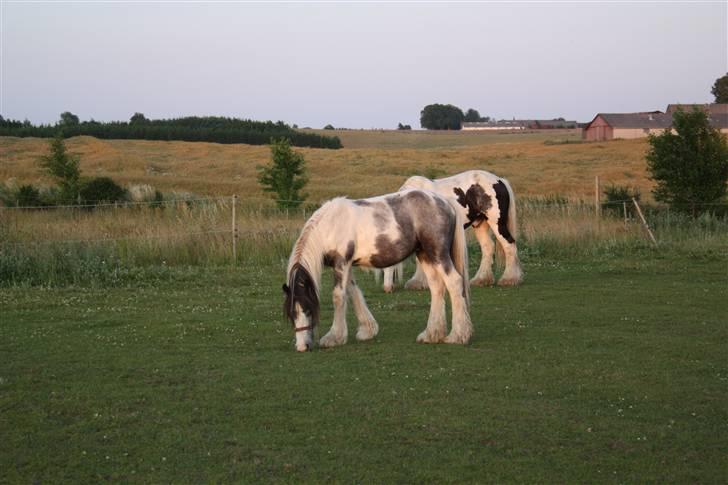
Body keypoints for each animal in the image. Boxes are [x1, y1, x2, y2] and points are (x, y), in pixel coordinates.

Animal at [278, 187, 472, 350]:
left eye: (307, 309)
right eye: (291, 314)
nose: (302, 347)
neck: (329, 227)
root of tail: (444, 201)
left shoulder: (341, 263)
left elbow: (338, 297)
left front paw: (334, 337)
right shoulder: (347, 266)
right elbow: (353, 293)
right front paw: (367, 330)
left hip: (438, 254)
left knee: (454, 283)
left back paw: (458, 335)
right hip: (424, 254)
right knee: (436, 287)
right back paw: (432, 334)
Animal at [382, 170, 524, 292]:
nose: (387, 289)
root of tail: (499, 180)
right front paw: (418, 282)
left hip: (496, 223)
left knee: (509, 245)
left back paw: (509, 279)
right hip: (480, 224)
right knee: (488, 247)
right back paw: (481, 279)